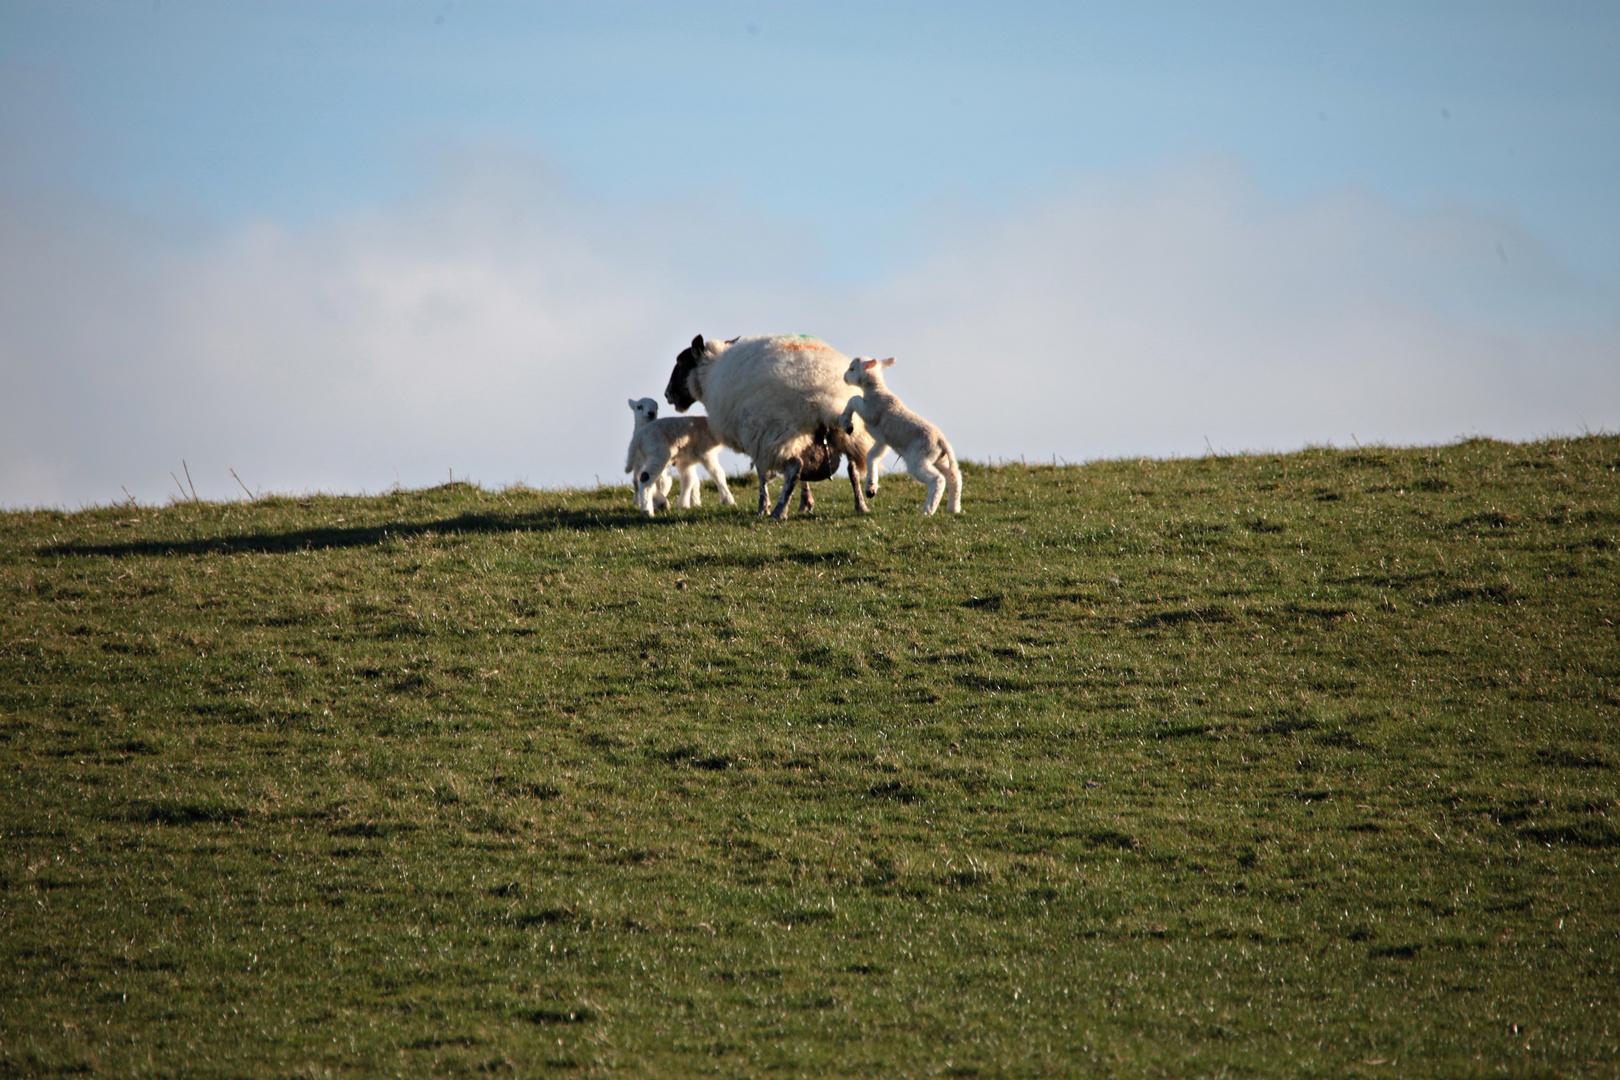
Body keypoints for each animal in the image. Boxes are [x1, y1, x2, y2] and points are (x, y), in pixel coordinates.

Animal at [664, 333, 881, 518]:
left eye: (681, 362)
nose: (667, 394)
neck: (710, 372)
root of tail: (826, 398)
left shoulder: (756, 435)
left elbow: (762, 474)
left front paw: (763, 507)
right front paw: (806, 504)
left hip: (778, 429)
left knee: (794, 467)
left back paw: (779, 512)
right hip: (848, 434)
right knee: (852, 469)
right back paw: (861, 506)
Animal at [835, 356, 959, 518]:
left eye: (851, 368)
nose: (844, 377)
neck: (876, 390)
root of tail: (941, 441)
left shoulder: (870, 412)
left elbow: (853, 399)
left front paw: (846, 423)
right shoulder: (883, 440)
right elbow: (872, 456)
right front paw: (871, 487)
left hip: (918, 458)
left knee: (938, 479)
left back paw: (928, 509)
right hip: (940, 459)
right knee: (954, 478)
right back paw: (953, 508)